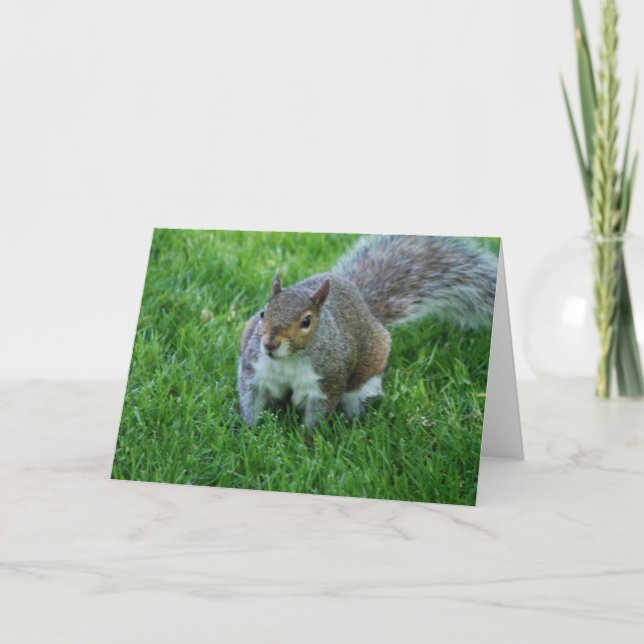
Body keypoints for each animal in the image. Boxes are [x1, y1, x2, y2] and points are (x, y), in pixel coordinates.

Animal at [237, 235, 498, 429]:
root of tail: (366, 307)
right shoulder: (255, 372)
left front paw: (307, 444)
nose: (270, 344)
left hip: (363, 387)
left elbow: (317, 415)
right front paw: (248, 432)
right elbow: (251, 400)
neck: (289, 359)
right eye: (263, 313)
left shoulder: (327, 382)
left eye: (307, 321)